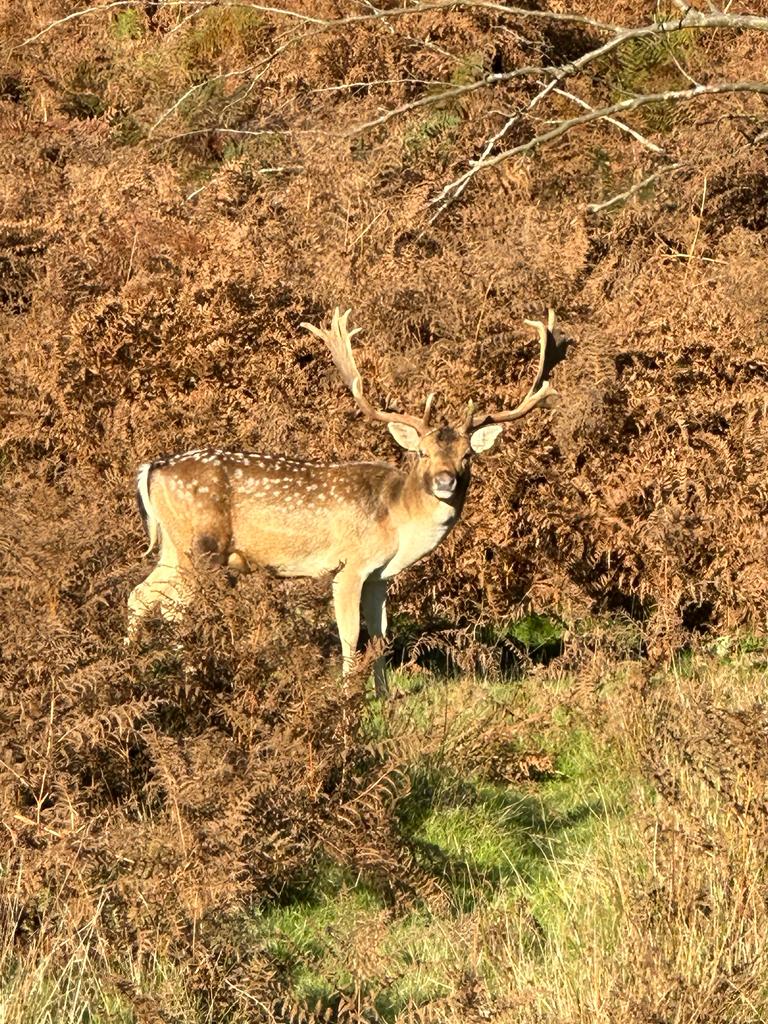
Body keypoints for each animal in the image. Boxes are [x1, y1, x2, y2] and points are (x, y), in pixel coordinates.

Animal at [127, 308, 570, 695]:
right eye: (422, 452)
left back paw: (135, 667)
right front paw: (346, 696)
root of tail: (152, 468)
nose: (445, 481)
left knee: (142, 595)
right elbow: (350, 633)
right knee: (175, 606)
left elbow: (381, 635)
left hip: (174, 546)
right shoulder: (349, 565)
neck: (397, 520)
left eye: (467, 455)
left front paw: (386, 696)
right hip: (201, 546)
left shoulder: (380, 576)